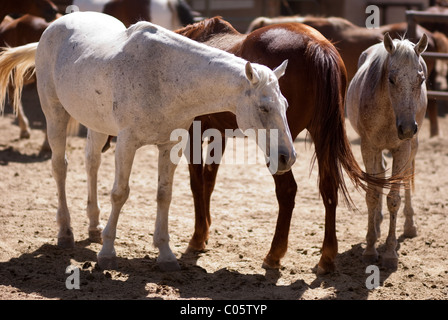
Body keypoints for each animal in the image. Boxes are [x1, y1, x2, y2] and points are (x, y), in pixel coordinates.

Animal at [0, 12, 298, 272]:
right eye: (264, 108)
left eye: (285, 105)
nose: (288, 157)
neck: (165, 77)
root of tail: (53, 26)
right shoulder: (126, 143)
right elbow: (120, 193)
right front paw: (107, 253)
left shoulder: (169, 146)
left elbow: (164, 195)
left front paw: (165, 255)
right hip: (55, 114)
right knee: (60, 167)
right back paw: (65, 232)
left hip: (96, 124)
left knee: (91, 163)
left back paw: (93, 226)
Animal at [177, 16, 400, 272]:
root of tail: (317, 45)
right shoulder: (219, 135)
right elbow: (209, 181)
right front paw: (205, 230)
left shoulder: (192, 134)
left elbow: (197, 183)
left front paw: (198, 237)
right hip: (320, 135)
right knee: (328, 187)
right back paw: (326, 256)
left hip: (280, 152)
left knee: (287, 191)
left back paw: (274, 253)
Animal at [346, 32, 428, 268]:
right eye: (391, 79)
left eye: (421, 79)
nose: (407, 128)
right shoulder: (369, 146)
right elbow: (373, 194)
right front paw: (370, 247)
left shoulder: (402, 149)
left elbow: (394, 198)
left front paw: (390, 252)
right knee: (381, 175)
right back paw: (377, 223)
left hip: (412, 146)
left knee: (407, 177)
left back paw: (409, 226)